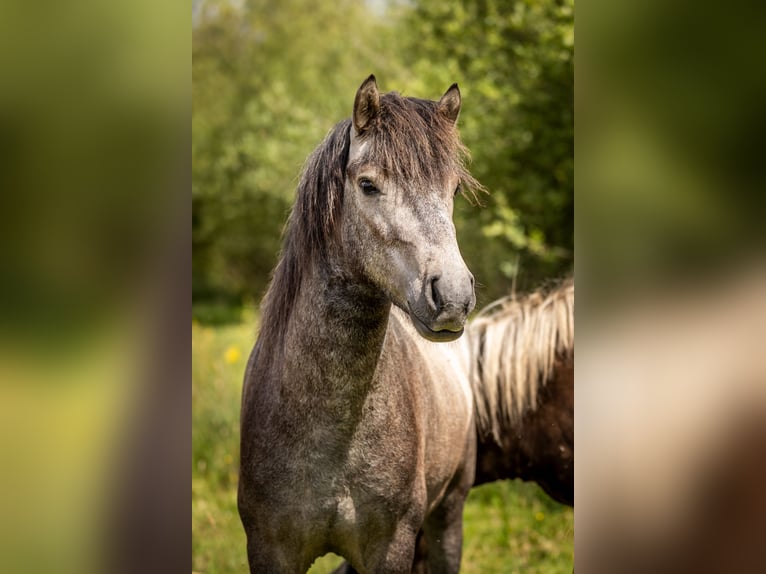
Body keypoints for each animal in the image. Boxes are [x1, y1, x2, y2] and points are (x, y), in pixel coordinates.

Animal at [238, 75, 483, 573]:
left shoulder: (391, 547)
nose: (453, 296)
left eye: (452, 191)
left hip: (449, 517)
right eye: (368, 185)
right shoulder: (269, 547)